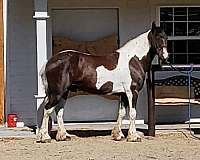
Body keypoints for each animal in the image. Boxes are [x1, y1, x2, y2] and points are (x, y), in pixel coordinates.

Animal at [36, 21, 168, 142]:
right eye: (157, 36)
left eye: (166, 37)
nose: (165, 57)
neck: (133, 60)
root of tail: (49, 62)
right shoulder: (132, 92)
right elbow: (132, 113)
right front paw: (133, 136)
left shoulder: (123, 94)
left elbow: (121, 113)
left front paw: (118, 135)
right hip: (57, 92)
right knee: (48, 109)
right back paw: (45, 137)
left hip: (64, 92)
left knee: (58, 111)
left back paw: (63, 135)